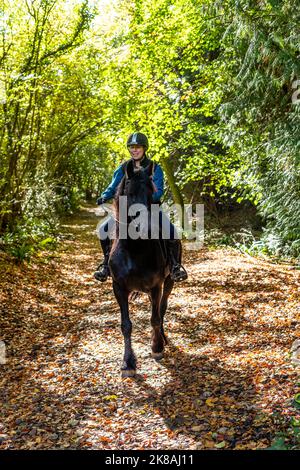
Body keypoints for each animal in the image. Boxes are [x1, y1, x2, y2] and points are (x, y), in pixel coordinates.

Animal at [109, 160, 182, 376]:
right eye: (130, 193)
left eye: (152, 194)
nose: (147, 229)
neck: (135, 249)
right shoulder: (119, 288)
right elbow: (126, 325)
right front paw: (128, 363)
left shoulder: (156, 286)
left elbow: (155, 318)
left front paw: (157, 347)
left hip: (169, 282)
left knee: (162, 309)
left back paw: (162, 338)